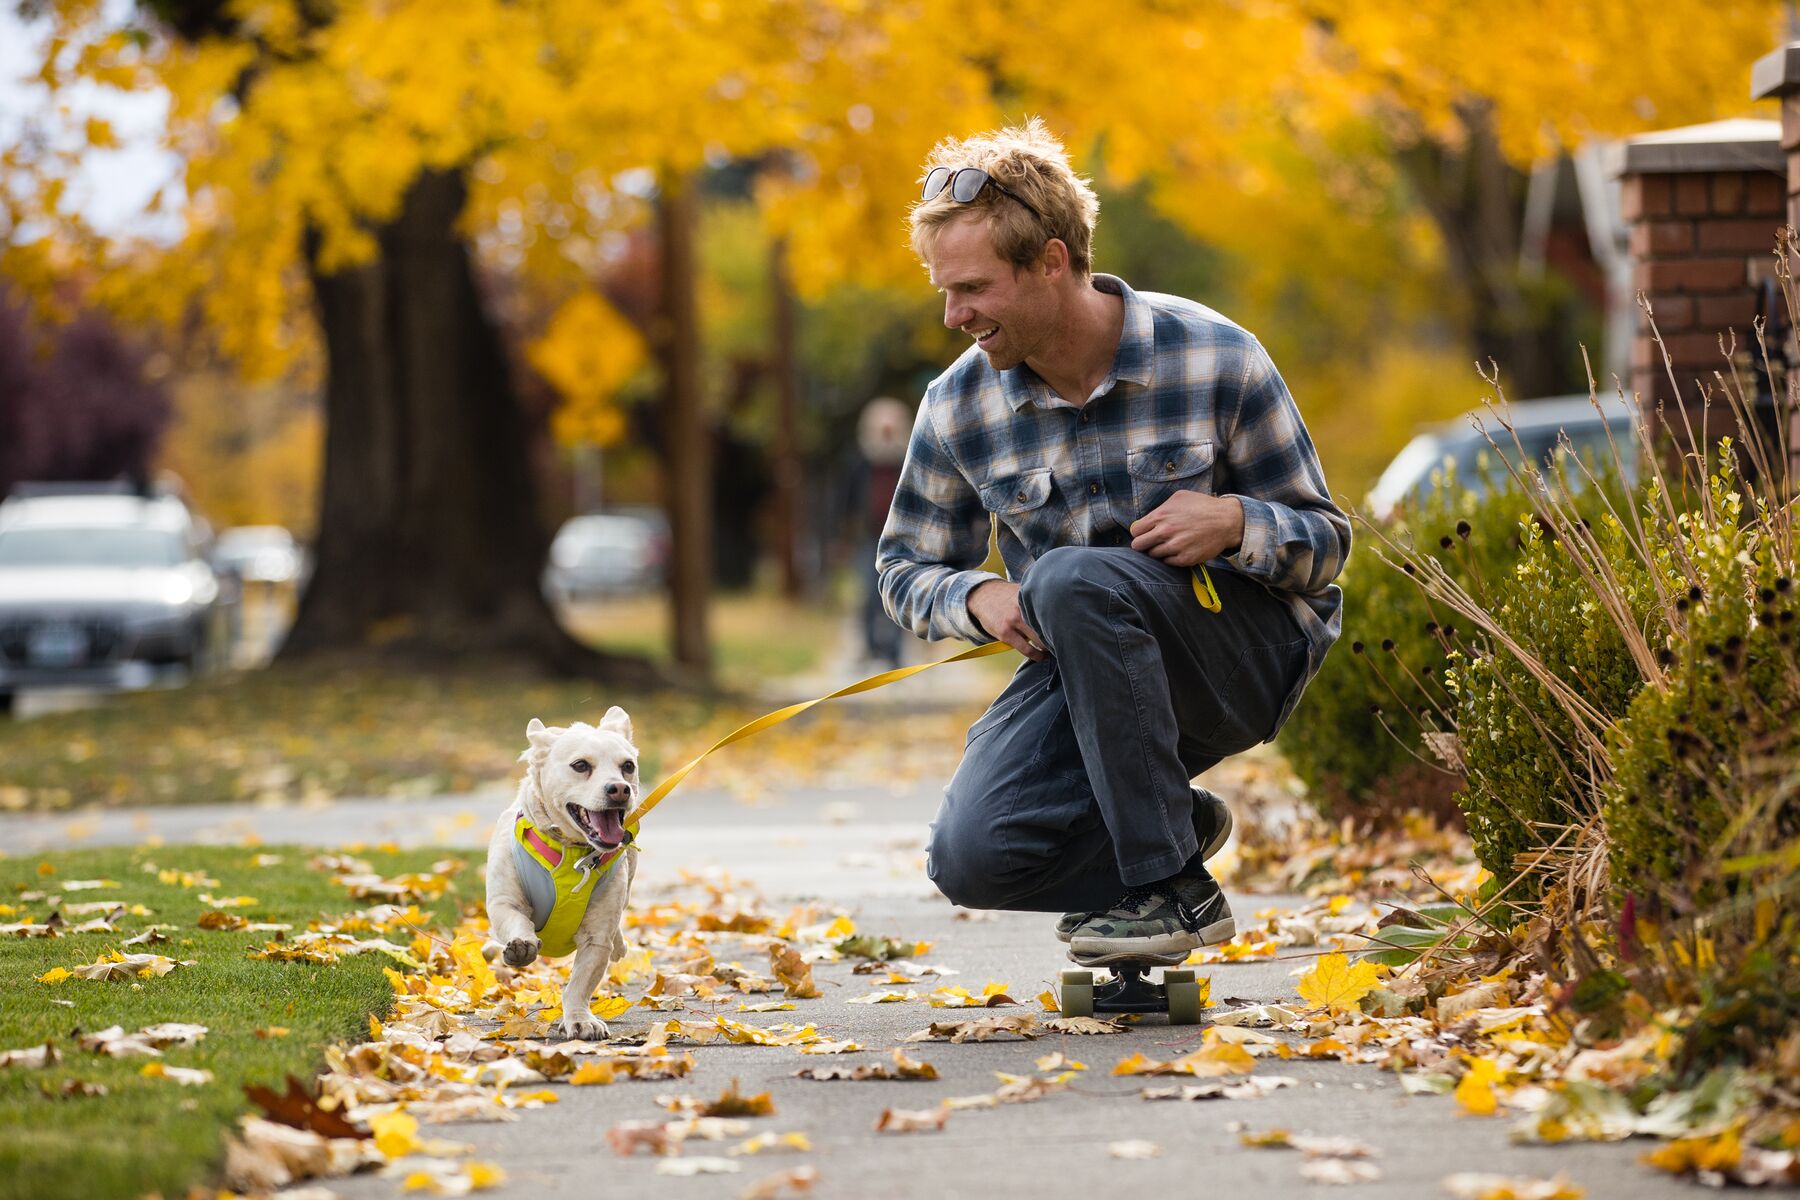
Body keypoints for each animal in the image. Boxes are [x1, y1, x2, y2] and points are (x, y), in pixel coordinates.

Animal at [486, 708, 640, 1036]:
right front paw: (522, 945)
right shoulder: (503, 902)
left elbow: (579, 984)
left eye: (628, 766)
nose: (620, 789)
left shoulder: (597, 937)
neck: (572, 855)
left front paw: (580, 1019)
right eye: (580, 765)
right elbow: (516, 918)